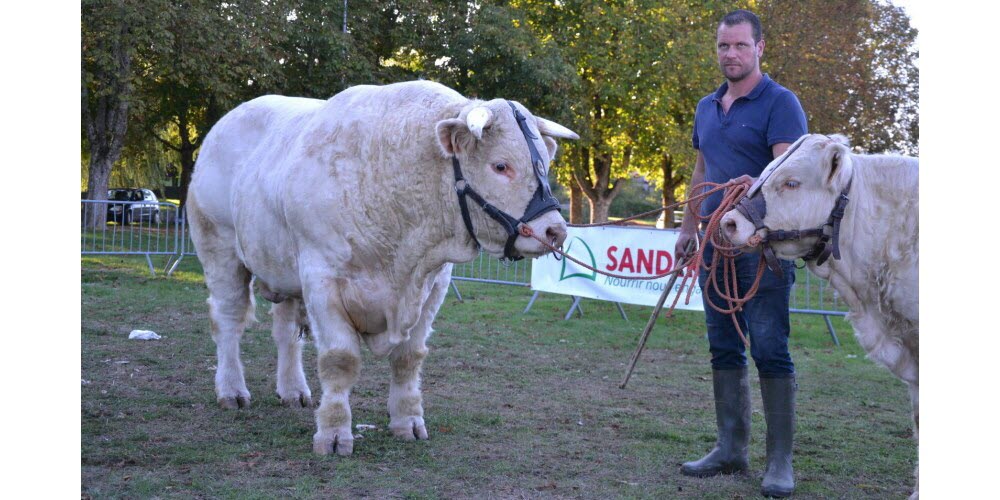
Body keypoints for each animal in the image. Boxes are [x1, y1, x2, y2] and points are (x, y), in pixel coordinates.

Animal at [188, 81, 580, 458]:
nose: (555, 231)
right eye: (501, 166)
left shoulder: (433, 285)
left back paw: (293, 390)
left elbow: (408, 359)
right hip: (220, 249)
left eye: (545, 164)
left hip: (282, 267)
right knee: (227, 321)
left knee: (285, 332)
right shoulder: (322, 280)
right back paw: (232, 390)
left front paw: (408, 422)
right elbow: (340, 360)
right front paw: (334, 433)